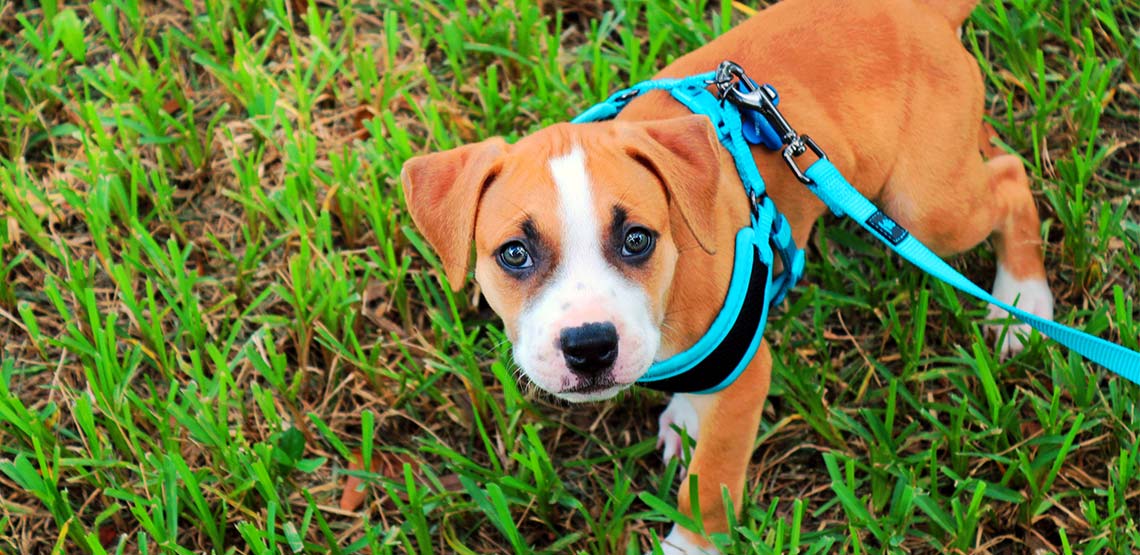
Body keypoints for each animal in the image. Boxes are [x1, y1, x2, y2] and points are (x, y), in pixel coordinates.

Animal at [399, 0, 1048, 551]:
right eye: (514, 254)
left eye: (637, 240)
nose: (589, 347)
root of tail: (921, 11)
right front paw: (687, 416)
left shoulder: (746, 376)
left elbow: (711, 481)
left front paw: (692, 543)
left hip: (922, 206)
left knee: (1011, 178)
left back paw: (1022, 302)